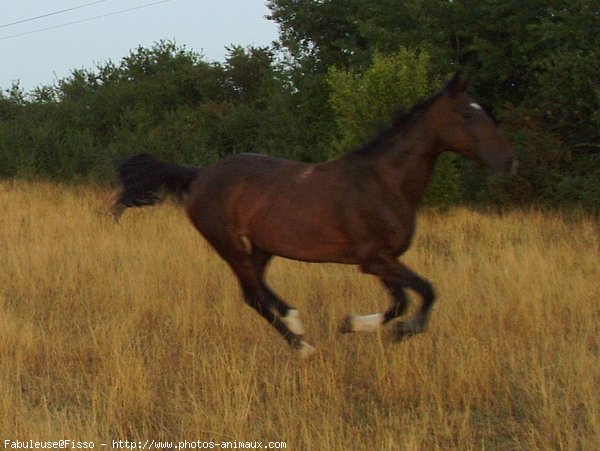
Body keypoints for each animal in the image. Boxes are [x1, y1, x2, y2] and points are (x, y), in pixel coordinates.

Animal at [111, 73, 516, 356]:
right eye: (466, 114)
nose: (509, 162)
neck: (383, 182)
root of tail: (198, 175)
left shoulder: (383, 261)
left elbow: (400, 300)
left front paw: (355, 325)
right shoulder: (375, 259)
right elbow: (424, 293)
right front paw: (395, 331)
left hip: (262, 244)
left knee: (259, 288)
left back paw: (296, 321)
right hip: (227, 243)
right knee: (252, 295)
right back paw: (302, 345)